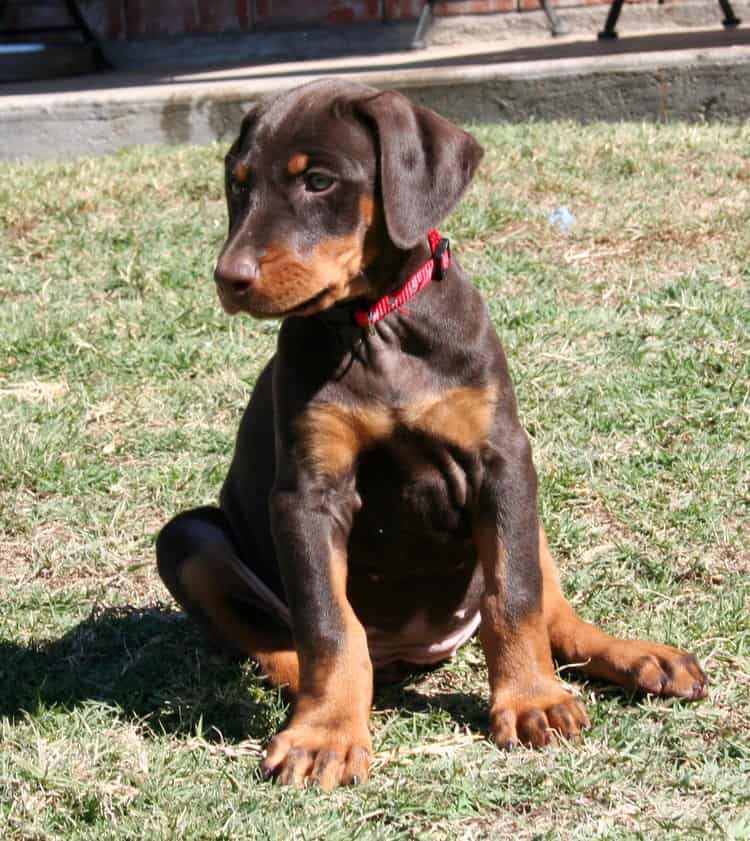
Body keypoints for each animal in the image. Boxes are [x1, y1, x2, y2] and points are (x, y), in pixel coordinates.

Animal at [156, 77, 708, 788]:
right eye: (237, 184)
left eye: (319, 182)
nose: (230, 278)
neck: (375, 325)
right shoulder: (307, 494)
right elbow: (327, 624)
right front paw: (325, 733)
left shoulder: (503, 461)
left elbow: (516, 597)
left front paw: (531, 700)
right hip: (186, 538)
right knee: (283, 641)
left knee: (553, 610)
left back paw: (637, 656)